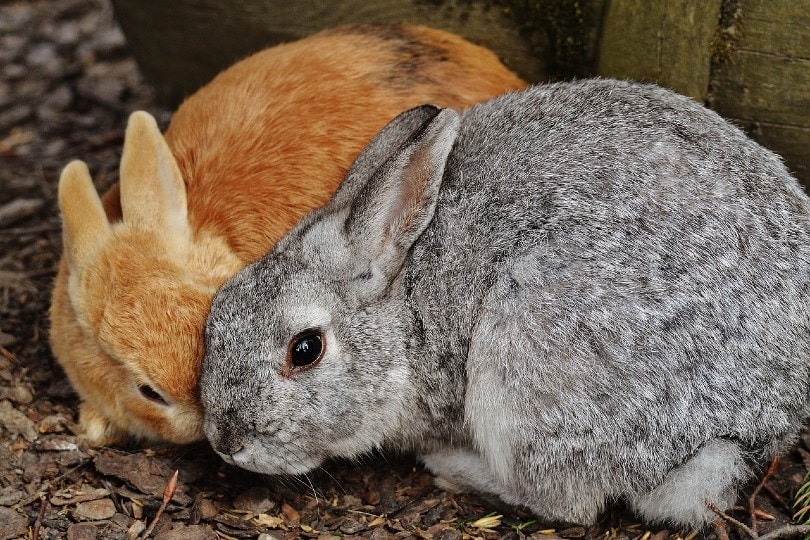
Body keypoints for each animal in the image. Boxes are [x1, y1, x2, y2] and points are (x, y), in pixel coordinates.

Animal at [199, 78, 810, 527]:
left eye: (305, 349)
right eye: (217, 316)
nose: (226, 441)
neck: (405, 308)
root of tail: (749, 429)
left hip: (526, 360)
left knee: (566, 500)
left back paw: (451, 465)